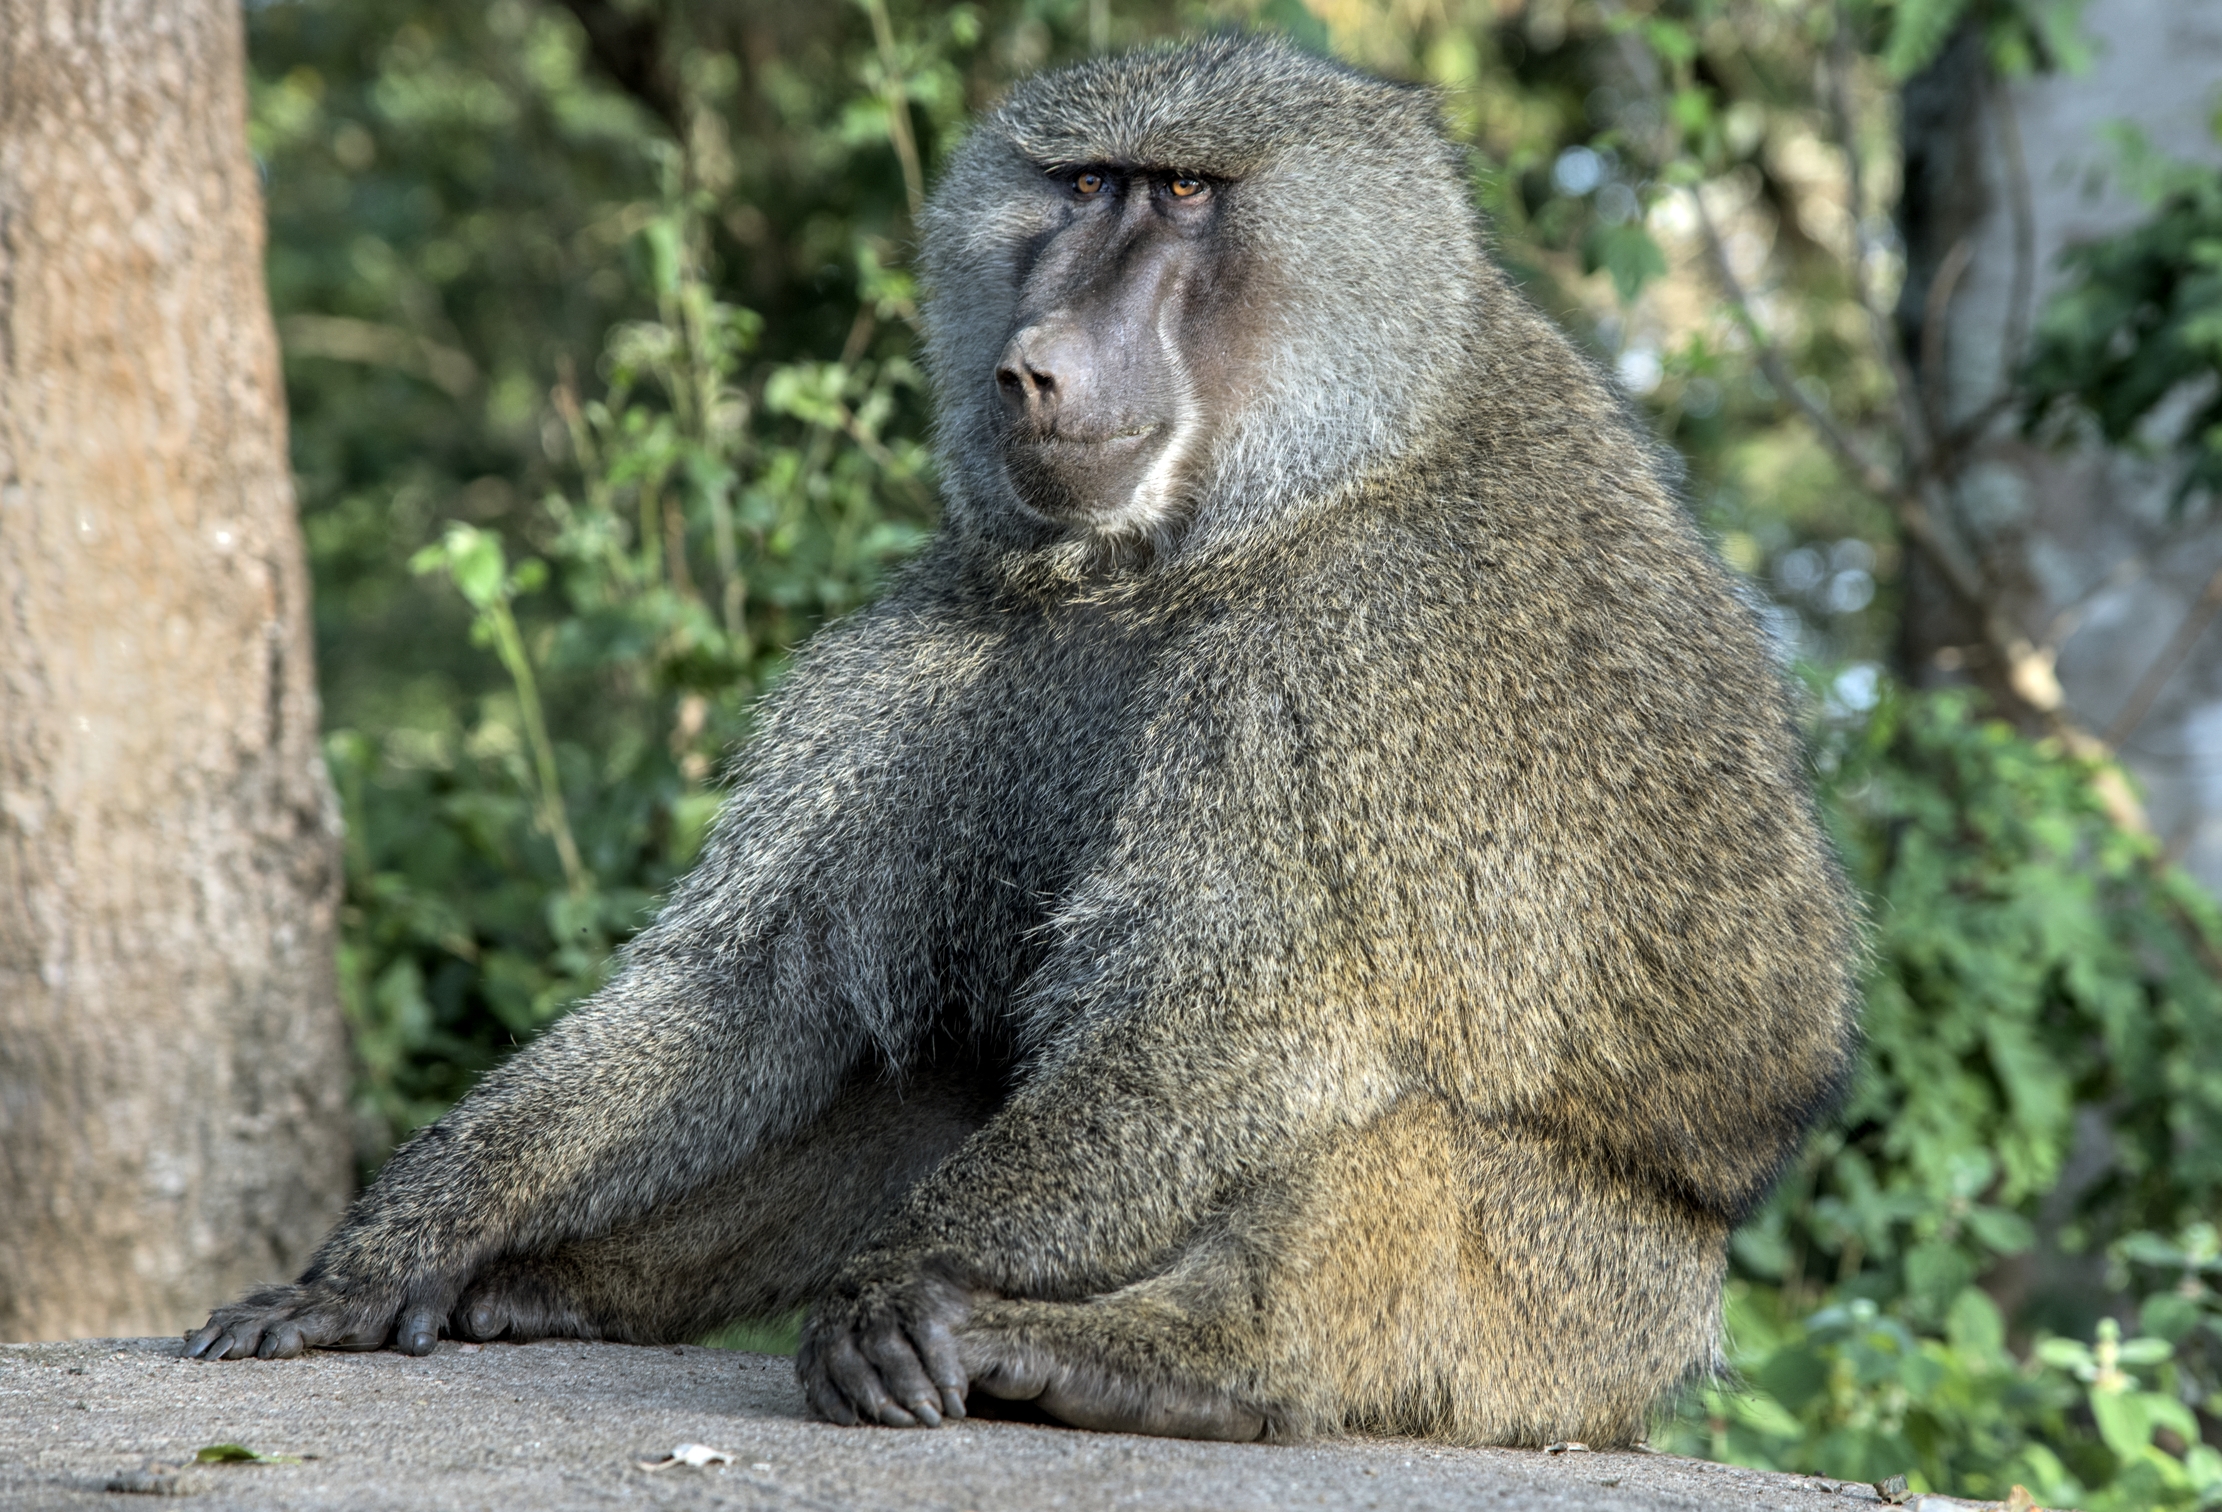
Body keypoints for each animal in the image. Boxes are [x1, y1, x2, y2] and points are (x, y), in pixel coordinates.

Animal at [186, 35, 1860, 1450]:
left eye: (1181, 192)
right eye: (1079, 188)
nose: (1039, 359)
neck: (1247, 519)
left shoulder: (1362, 662)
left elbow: (1233, 1020)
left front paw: (894, 1287)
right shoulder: (940, 640)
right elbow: (752, 991)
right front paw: (393, 1245)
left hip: (1577, 1324)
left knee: (1373, 1122)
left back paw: (1164, 1364)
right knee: (927, 1059)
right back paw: (566, 1289)